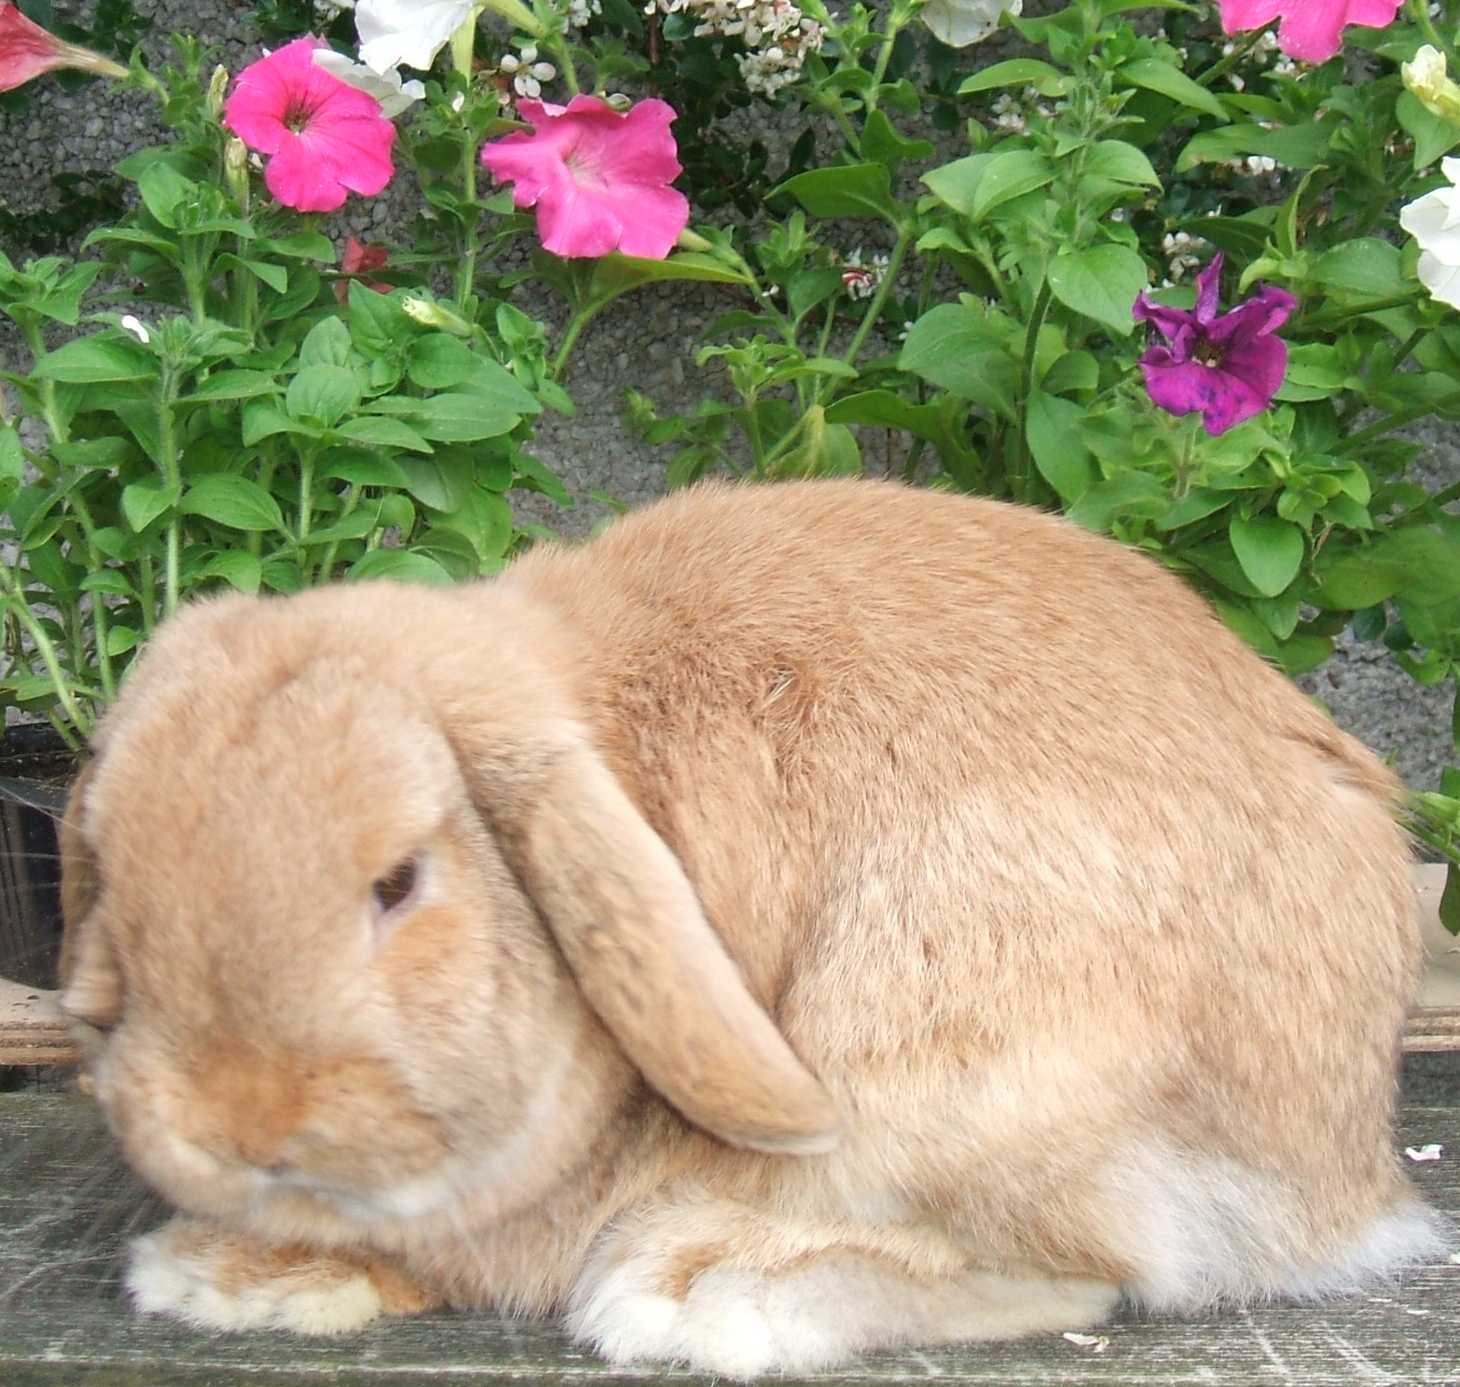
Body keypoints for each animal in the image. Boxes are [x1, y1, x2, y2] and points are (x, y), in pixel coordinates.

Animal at [57, 477, 1448, 1377]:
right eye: (115, 868)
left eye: (399, 881)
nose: (240, 1125)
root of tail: (1343, 1179)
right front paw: (230, 1272)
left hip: (951, 1053)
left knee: (1081, 1267)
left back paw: (711, 1289)